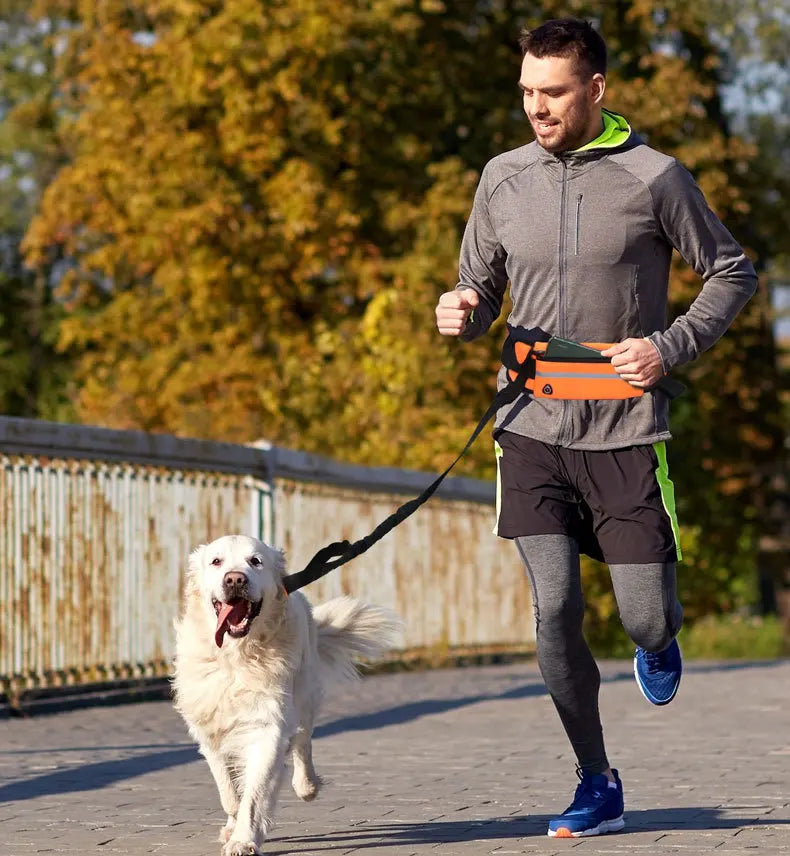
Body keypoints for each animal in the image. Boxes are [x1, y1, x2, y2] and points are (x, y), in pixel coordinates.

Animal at [176, 536, 406, 856]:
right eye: (216, 562)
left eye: (255, 561)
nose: (235, 579)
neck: (238, 655)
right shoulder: (209, 727)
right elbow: (229, 790)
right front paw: (235, 825)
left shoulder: (267, 725)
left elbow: (255, 791)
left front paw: (244, 839)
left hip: (304, 697)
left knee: (302, 744)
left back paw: (306, 786)